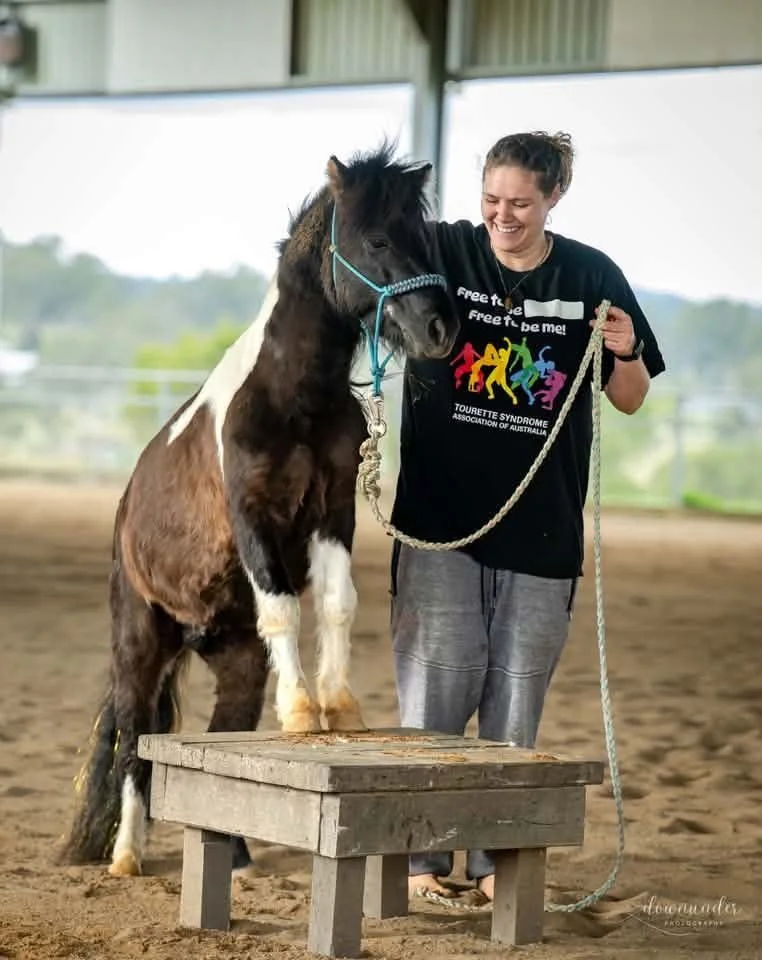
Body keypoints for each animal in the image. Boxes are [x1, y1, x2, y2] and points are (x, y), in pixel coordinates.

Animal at [60, 145, 459, 878]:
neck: (291, 395)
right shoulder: (252, 515)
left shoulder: (333, 510)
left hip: (237, 662)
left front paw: (339, 708)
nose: (440, 328)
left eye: (426, 236)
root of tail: (126, 509)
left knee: (221, 742)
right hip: (139, 646)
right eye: (377, 239)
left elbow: (335, 604)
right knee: (134, 741)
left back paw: (237, 855)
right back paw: (127, 853)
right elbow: (284, 608)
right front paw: (302, 713)